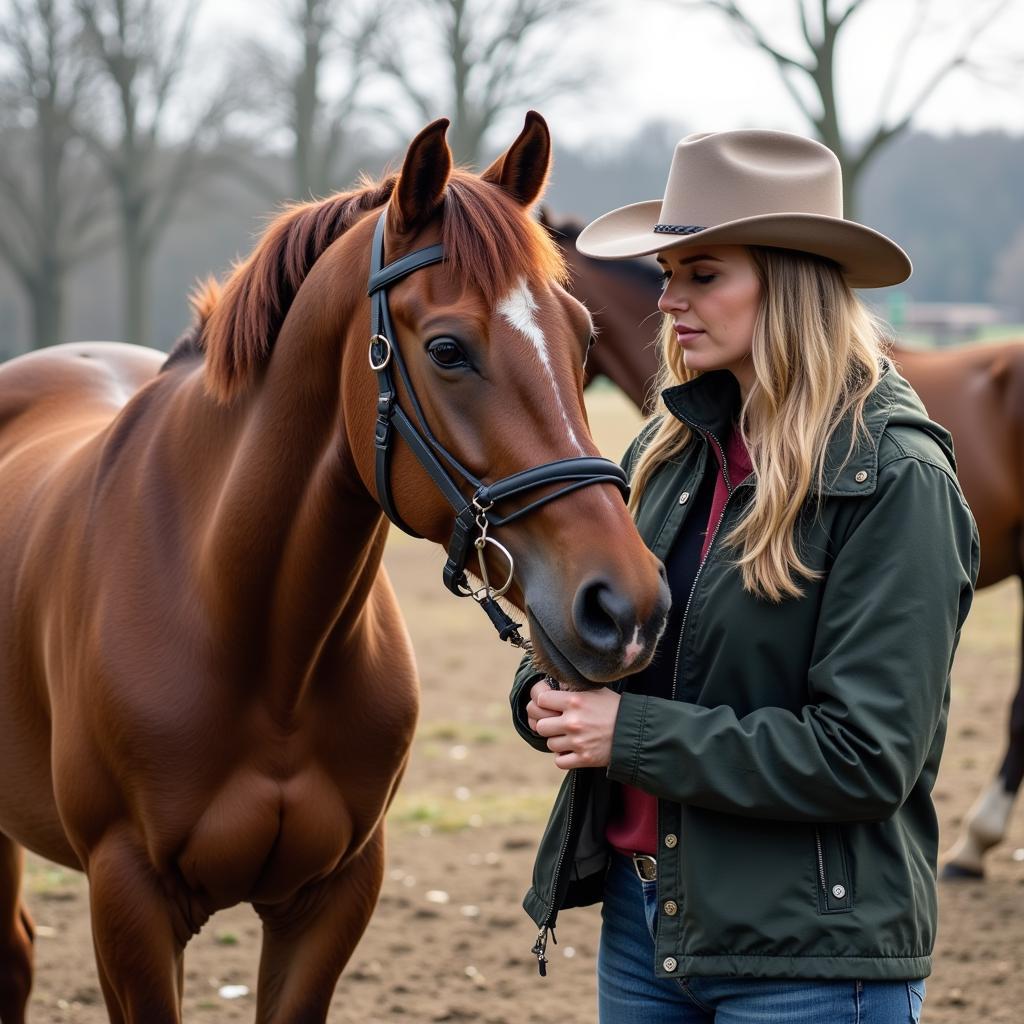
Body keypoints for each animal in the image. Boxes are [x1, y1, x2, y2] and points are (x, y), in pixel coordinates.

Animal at [0, 114, 671, 1024]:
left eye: (585, 336)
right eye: (448, 349)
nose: (624, 606)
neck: (259, 643)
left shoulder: (334, 897)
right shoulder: (128, 901)